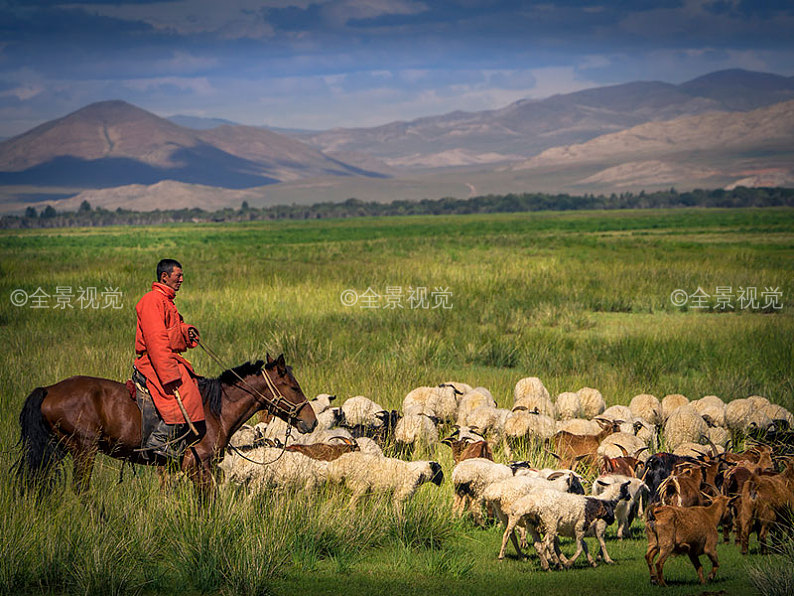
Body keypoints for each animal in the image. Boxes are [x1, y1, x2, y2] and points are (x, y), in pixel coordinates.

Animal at [13, 352, 316, 500]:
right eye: (293, 386)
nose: (310, 420)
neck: (215, 409)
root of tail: (49, 390)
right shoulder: (197, 466)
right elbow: (207, 501)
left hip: (57, 449)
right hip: (83, 450)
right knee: (81, 489)